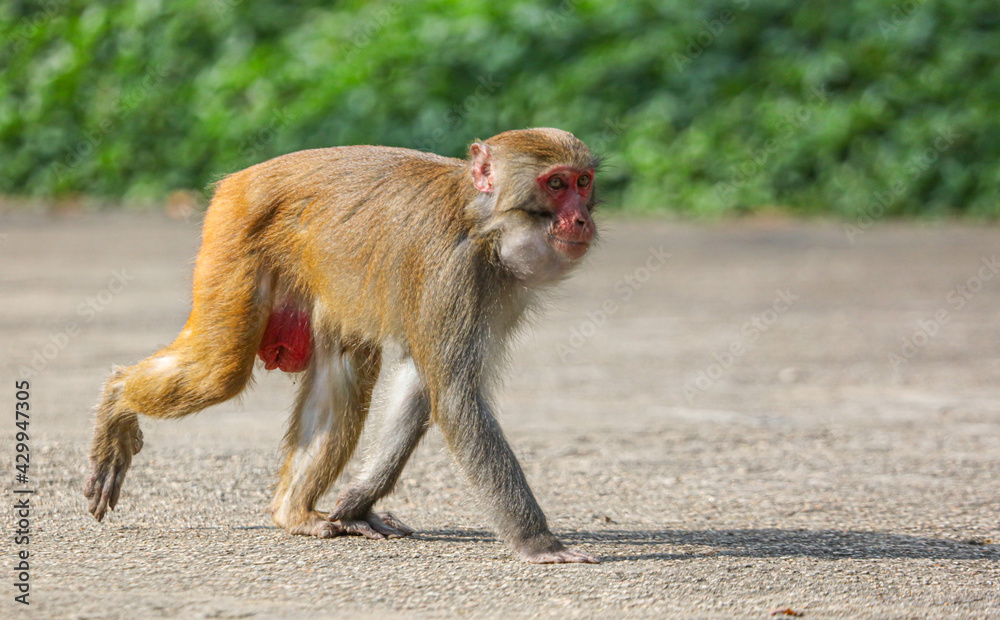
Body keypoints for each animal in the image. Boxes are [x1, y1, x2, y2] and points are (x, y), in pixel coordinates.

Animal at [85, 127, 600, 564]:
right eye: (555, 184)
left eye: (583, 182)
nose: (582, 219)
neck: (484, 223)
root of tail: (243, 177)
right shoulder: (453, 273)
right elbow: (456, 398)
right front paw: (539, 543)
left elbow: (420, 387)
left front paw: (355, 503)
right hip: (233, 237)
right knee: (220, 370)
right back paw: (116, 401)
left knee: (346, 369)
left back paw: (292, 512)